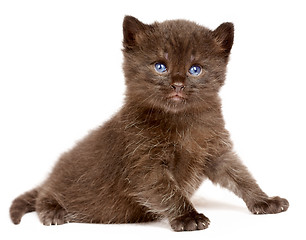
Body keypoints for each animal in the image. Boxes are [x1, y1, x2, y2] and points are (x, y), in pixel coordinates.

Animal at [10, 15, 290, 232]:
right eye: (160, 66)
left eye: (195, 69)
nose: (177, 84)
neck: (182, 121)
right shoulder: (144, 162)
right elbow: (167, 189)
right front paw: (188, 216)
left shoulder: (216, 150)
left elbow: (240, 176)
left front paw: (264, 200)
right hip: (59, 181)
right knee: (45, 193)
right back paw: (53, 212)